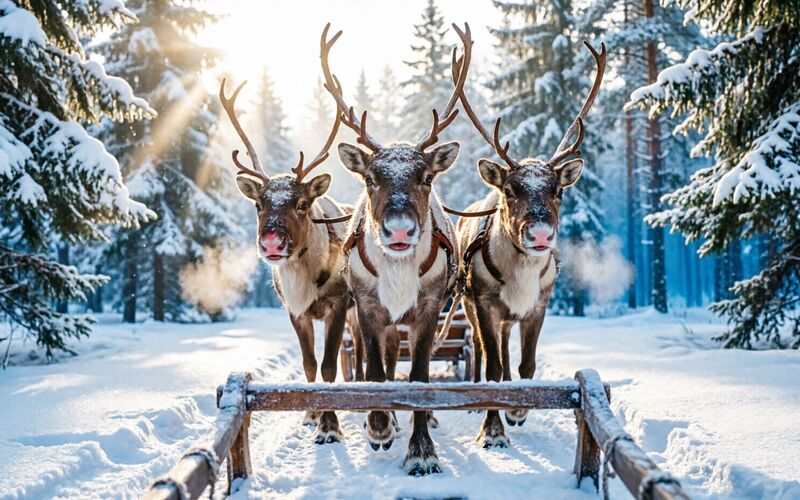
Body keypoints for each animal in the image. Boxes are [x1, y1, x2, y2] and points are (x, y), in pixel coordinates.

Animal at [219, 78, 358, 445]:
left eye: (302, 203)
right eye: (258, 205)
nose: (271, 241)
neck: (306, 283)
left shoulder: (339, 304)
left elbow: (329, 366)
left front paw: (330, 427)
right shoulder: (295, 311)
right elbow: (309, 365)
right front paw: (311, 415)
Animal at [317, 23, 472, 476]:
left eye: (426, 177)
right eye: (371, 177)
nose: (399, 230)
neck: (399, 273)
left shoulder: (428, 307)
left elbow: (419, 376)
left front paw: (422, 450)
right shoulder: (368, 306)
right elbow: (374, 370)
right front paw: (379, 426)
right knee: (383, 359)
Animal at [453, 40, 606, 448]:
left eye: (558, 190)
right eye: (510, 189)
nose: (539, 234)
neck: (520, 277)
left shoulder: (538, 305)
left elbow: (526, 363)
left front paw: (519, 409)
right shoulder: (486, 304)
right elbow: (492, 367)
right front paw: (492, 430)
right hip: (468, 305)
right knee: (482, 350)